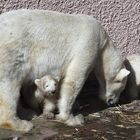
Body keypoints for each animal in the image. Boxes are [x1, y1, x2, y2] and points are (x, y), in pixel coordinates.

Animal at [0, 9, 130, 131]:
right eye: (121, 89)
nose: (113, 102)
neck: (103, 42)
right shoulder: (89, 44)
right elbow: (73, 81)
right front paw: (72, 118)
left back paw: (27, 112)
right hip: (12, 53)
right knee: (9, 86)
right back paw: (21, 124)